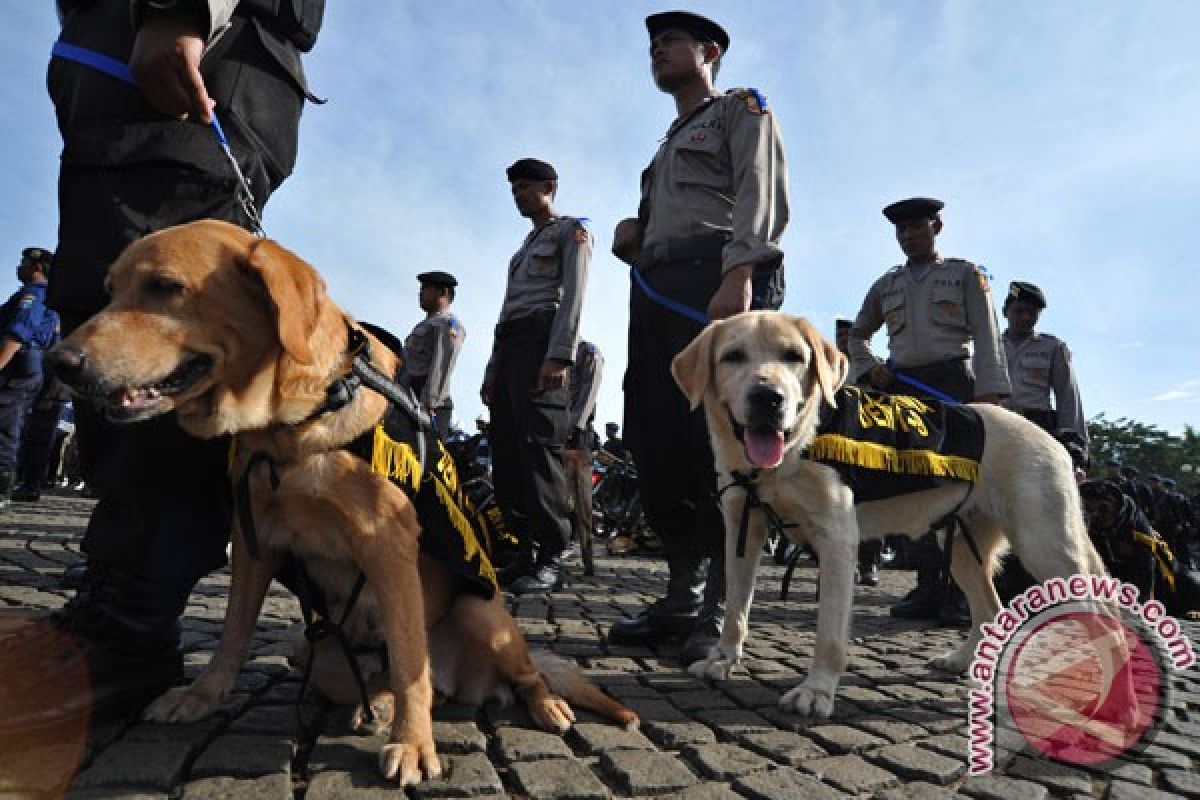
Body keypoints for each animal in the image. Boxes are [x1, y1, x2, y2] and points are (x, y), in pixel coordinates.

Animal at [50, 220, 638, 786]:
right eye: (110, 291)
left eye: (165, 287)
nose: (60, 361)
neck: (292, 428)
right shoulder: (254, 545)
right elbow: (233, 636)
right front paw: (201, 697)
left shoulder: (389, 549)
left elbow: (409, 661)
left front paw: (415, 745)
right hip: (317, 651)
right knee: (409, 685)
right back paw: (374, 704)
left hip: (482, 615)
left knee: (505, 674)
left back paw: (543, 704)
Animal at [672, 311, 1108, 719]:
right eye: (733, 356)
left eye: (793, 356)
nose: (768, 397)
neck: (796, 447)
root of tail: (1052, 439)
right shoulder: (742, 529)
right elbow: (734, 609)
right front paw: (723, 660)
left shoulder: (837, 540)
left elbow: (829, 633)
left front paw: (817, 691)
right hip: (960, 549)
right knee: (990, 608)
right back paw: (961, 661)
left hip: (1045, 547)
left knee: (1101, 618)